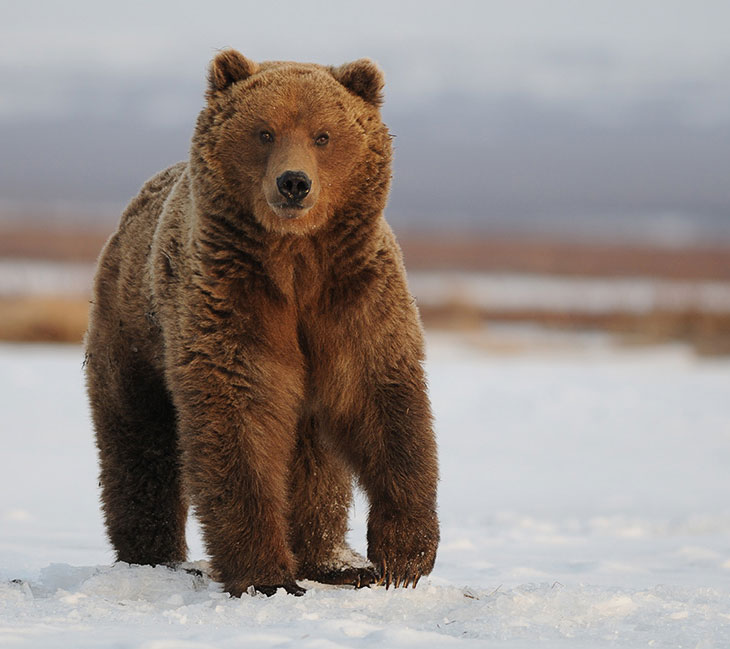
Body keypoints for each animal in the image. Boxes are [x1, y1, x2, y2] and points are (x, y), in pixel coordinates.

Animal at [85, 49, 438, 596]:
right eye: (264, 132)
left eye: (322, 134)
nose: (294, 182)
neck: (294, 258)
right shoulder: (231, 297)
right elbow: (240, 416)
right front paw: (265, 574)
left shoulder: (351, 293)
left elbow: (382, 399)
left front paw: (403, 557)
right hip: (132, 331)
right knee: (139, 439)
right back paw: (155, 556)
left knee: (316, 458)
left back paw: (333, 561)